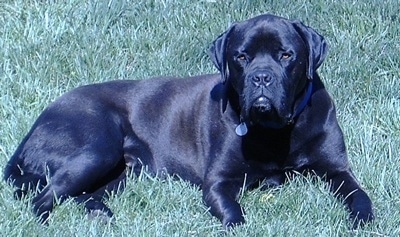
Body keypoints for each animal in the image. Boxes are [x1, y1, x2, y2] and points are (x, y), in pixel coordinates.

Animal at [3, 14, 374, 228]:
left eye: (286, 55)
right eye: (241, 57)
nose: (261, 77)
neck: (274, 131)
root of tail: (36, 125)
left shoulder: (337, 170)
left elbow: (360, 195)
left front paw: (362, 219)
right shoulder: (218, 182)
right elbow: (233, 213)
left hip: (121, 171)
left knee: (81, 195)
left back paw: (101, 214)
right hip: (96, 148)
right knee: (42, 199)